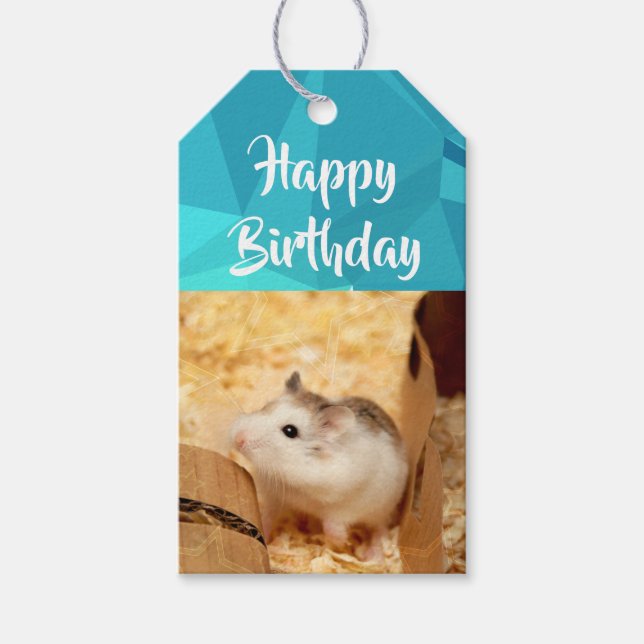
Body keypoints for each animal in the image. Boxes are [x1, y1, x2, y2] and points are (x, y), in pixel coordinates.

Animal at [229, 371, 409, 560]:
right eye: (265, 407)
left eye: (290, 431)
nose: (239, 439)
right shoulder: (275, 496)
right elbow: (267, 516)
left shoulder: (348, 504)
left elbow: (332, 526)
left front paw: (343, 544)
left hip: (383, 506)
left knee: (380, 529)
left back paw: (372, 557)